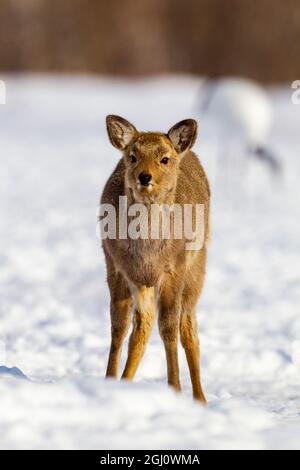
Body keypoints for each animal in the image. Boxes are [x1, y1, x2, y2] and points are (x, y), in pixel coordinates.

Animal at [100, 115, 209, 402]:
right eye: (133, 156)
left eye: (164, 159)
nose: (144, 176)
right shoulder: (116, 267)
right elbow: (119, 327)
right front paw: (108, 380)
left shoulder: (175, 269)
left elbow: (169, 327)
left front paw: (175, 388)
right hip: (143, 282)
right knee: (143, 326)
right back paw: (125, 380)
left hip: (197, 268)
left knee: (188, 328)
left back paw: (200, 398)